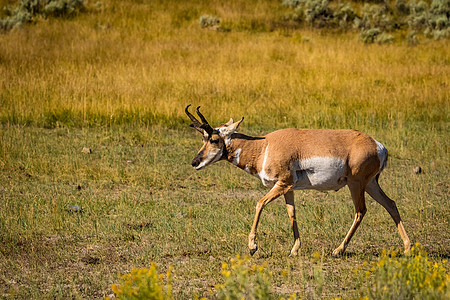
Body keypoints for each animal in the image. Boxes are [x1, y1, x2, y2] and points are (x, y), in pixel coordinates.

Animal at [184, 105, 412, 258]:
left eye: (214, 139)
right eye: (203, 139)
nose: (194, 162)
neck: (265, 146)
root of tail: (378, 145)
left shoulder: (282, 184)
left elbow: (259, 204)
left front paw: (252, 247)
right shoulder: (288, 188)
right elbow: (292, 213)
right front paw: (294, 249)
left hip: (356, 184)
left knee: (361, 211)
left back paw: (337, 250)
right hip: (371, 184)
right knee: (391, 204)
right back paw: (408, 248)